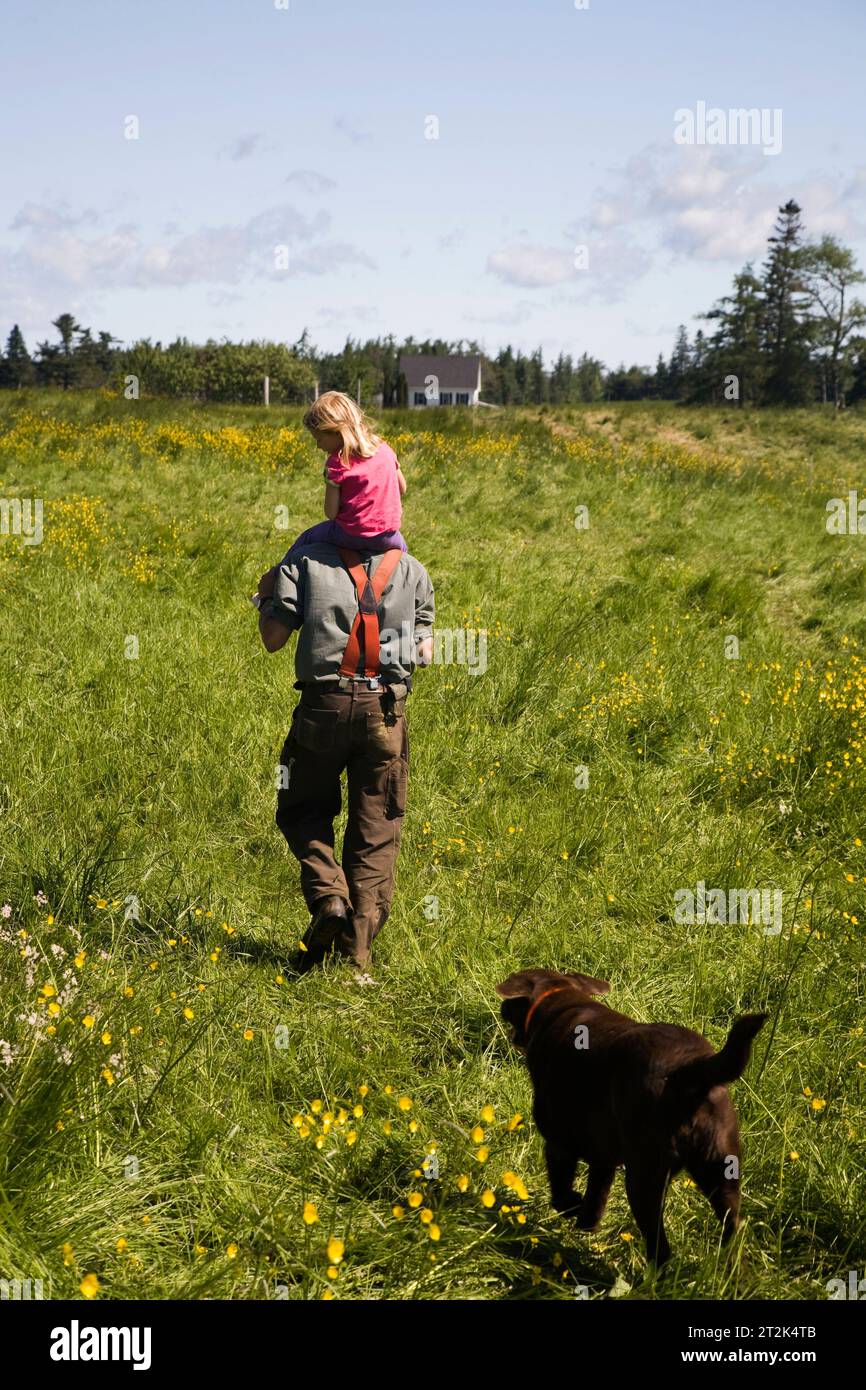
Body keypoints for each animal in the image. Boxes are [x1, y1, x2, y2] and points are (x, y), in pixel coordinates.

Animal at [497, 973, 767, 1267]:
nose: (501, 1007)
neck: (561, 1002)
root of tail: (688, 1071)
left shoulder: (559, 1144)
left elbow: (562, 1194)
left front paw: (574, 1207)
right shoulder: (602, 1156)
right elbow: (596, 1196)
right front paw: (586, 1223)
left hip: (644, 1178)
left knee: (661, 1249)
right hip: (722, 1171)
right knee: (734, 1231)